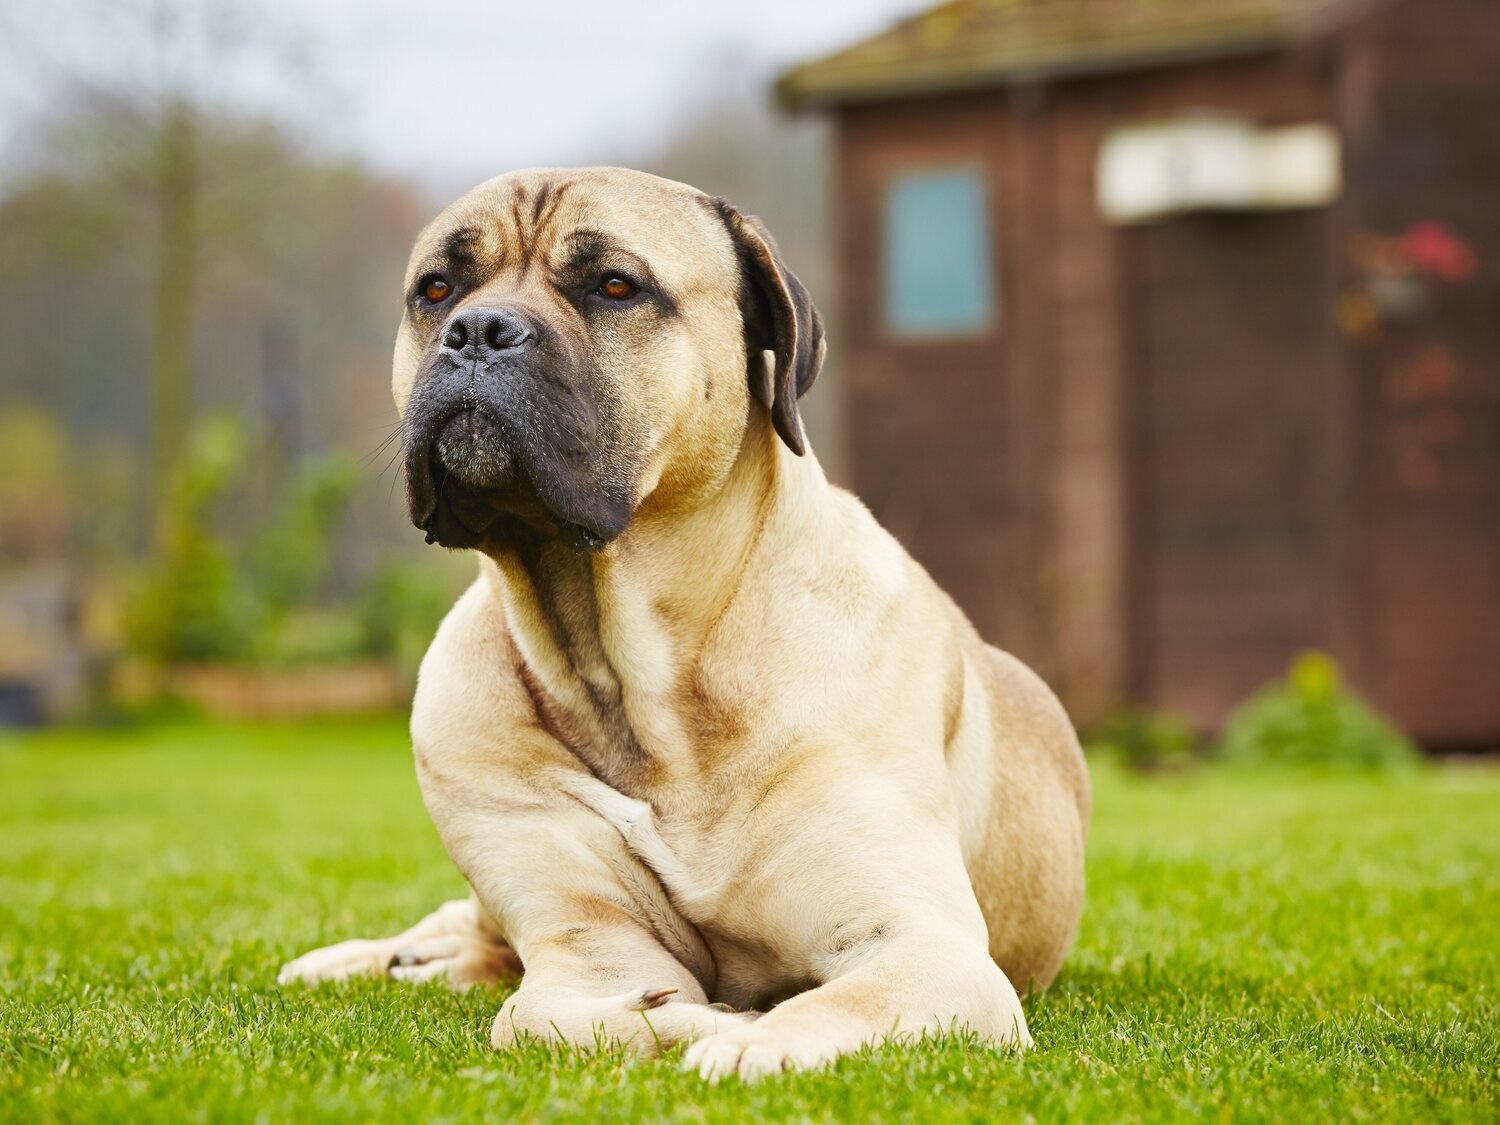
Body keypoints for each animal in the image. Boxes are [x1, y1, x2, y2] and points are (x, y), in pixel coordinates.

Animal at [282, 167, 1098, 1086]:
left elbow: (825, 1005)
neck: (639, 681)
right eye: (437, 289)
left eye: (614, 286)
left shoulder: (928, 947)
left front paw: (744, 1037)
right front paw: (687, 1019)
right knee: (470, 934)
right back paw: (360, 959)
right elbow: (539, 1018)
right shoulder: (589, 944)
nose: (477, 331)